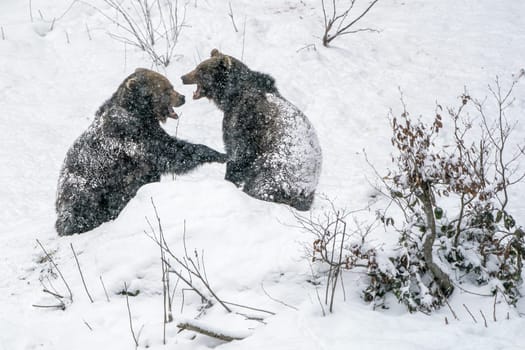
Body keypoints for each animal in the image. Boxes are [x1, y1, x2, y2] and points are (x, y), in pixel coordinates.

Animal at [56, 68, 226, 237]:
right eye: (166, 89)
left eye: (171, 86)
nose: (182, 97)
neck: (140, 113)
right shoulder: (129, 133)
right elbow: (167, 152)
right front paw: (218, 154)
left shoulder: (150, 129)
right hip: (88, 189)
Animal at [180, 49, 322, 211]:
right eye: (198, 66)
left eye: (201, 70)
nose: (183, 77)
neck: (232, 95)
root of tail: (302, 189)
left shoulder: (245, 122)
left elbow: (238, 152)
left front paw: (230, 178)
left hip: (274, 170)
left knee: (260, 187)